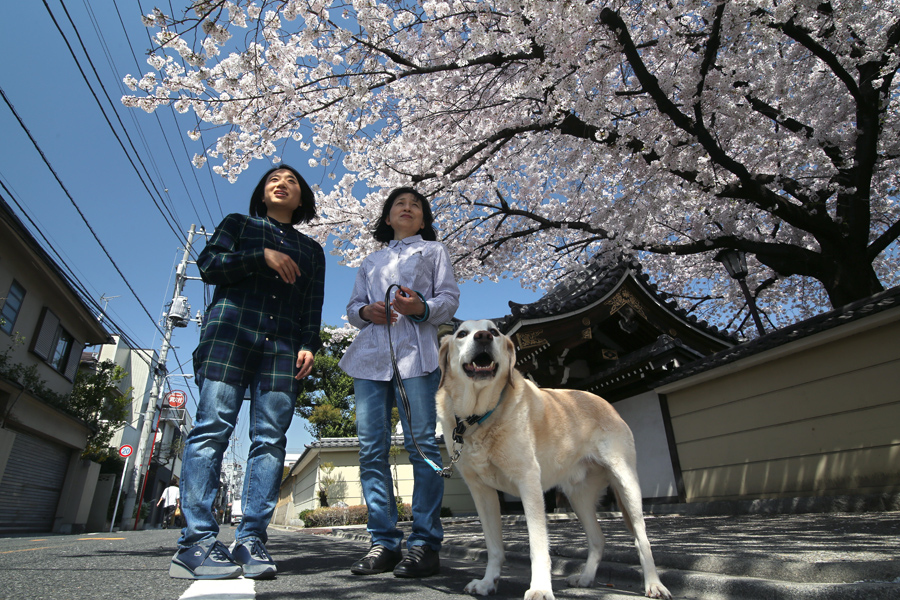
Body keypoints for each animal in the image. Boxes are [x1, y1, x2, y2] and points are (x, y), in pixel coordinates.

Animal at [436, 316, 668, 596]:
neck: (478, 417)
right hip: (579, 496)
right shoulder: (481, 492)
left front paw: (540, 589)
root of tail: (604, 402)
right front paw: (487, 582)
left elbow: (538, 546)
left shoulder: (529, 483)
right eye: (462, 334)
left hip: (627, 484)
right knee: (598, 539)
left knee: (642, 539)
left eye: (494, 332)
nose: (483, 337)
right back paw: (585, 578)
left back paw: (654, 584)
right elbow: (493, 547)